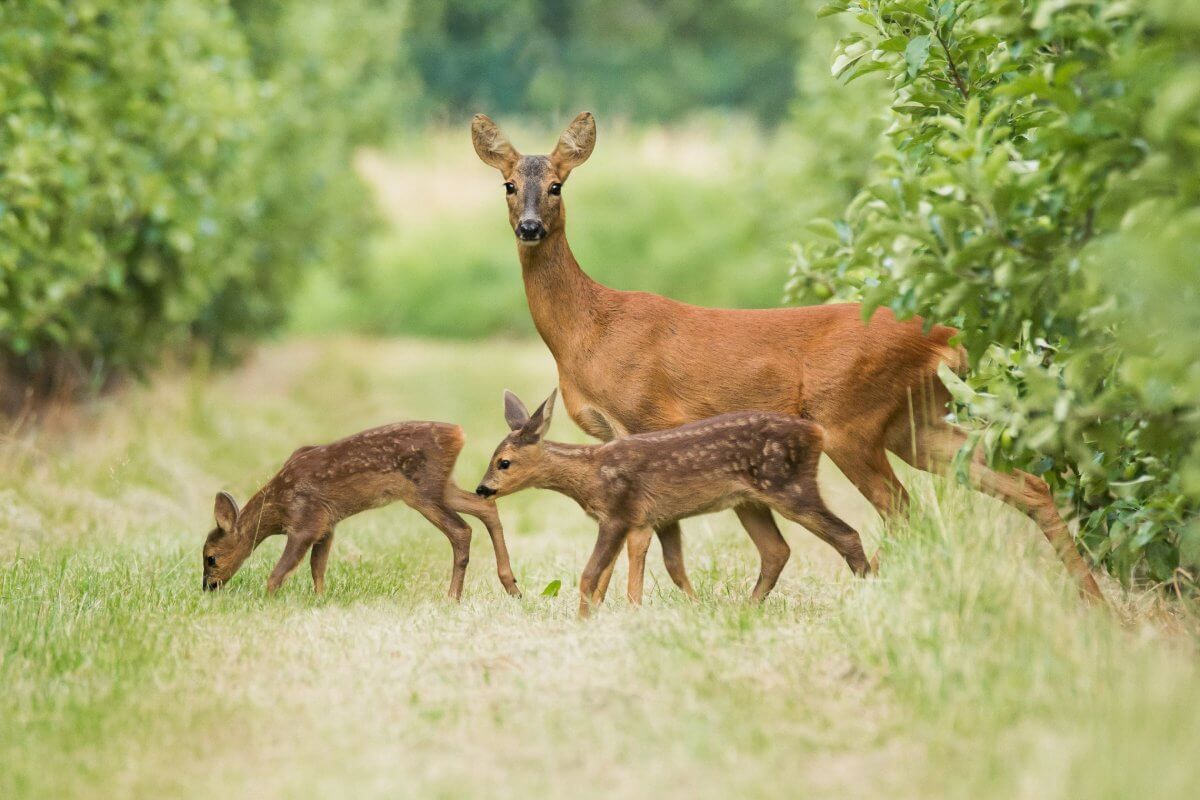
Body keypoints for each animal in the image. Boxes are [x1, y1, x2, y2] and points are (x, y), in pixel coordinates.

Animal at [201, 422, 520, 597]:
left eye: (211, 558)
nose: (207, 587)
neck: (278, 504)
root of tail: (458, 434)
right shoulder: (327, 524)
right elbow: (317, 567)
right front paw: (320, 599)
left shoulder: (306, 521)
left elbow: (281, 570)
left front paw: (269, 598)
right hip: (441, 487)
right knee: (485, 505)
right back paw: (511, 586)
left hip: (424, 491)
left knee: (461, 530)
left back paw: (453, 597)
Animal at [475, 391, 873, 618]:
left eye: (504, 462)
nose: (481, 489)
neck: (590, 473)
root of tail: (817, 433)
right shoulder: (646, 519)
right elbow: (646, 567)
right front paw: (628, 612)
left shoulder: (618, 512)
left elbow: (591, 573)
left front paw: (585, 620)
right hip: (749, 501)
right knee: (777, 550)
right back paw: (744, 608)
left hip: (789, 486)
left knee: (846, 533)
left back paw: (871, 590)